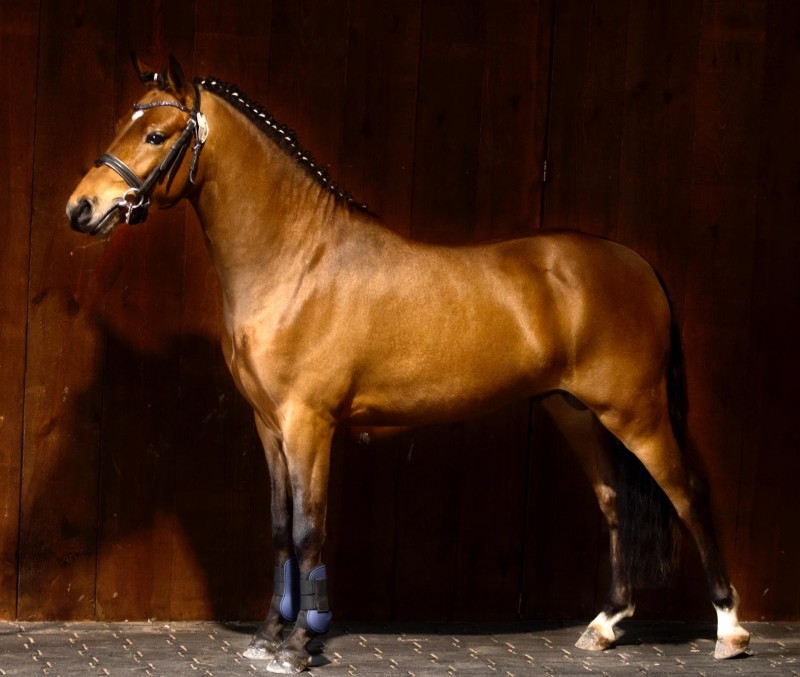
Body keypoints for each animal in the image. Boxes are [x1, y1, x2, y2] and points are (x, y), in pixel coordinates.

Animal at [66, 56, 749, 673]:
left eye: (156, 136)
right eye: (124, 125)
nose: (81, 209)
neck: (297, 261)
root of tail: (635, 263)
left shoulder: (310, 425)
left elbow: (310, 531)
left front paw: (298, 644)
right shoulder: (269, 426)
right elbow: (281, 529)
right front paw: (267, 636)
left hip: (637, 413)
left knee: (688, 495)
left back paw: (729, 630)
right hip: (577, 413)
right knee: (614, 505)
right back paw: (605, 626)